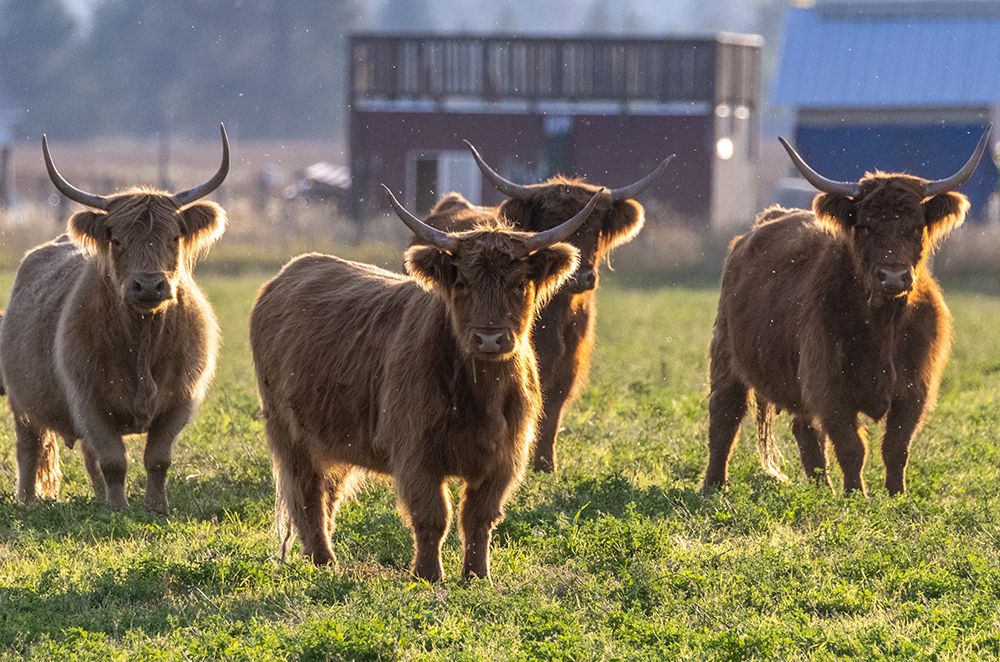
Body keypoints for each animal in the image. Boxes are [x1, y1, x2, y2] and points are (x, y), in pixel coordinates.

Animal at [1, 125, 229, 512]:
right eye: (117, 240)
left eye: (174, 237)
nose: (149, 284)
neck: (141, 343)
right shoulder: (89, 403)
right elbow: (114, 460)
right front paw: (118, 509)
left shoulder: (179, 401)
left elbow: (157, 459)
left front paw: (156, 507)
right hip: (22, 403)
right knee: (30, 448)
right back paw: (29, 500)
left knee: (87, 457)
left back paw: (97, 496)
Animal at [249, 184, 603, 581]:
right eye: (461, 283)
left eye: (519, 283)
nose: (490, 339)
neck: (481, 395)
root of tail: (294, 268)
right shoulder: (415, 451)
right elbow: (433, 515)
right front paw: (428, 574)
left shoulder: (506, 457)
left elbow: (479, 517)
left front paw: (477, 575)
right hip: (291, 434)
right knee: (307, 493)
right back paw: (323, 562)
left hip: (333, 436)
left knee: (328, 492)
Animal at [434, 141, 671, 472]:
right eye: (551, 225)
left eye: (596, 228)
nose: (580, 277)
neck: (555, 318)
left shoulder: (570, 362)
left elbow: (553, 408)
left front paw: (546, 464)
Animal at [704, 127, 991, 495]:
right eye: (865, 226)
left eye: (916, 227)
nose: (893, 276)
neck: (884, 324)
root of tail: (767, 218)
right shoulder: (829, 386)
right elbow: (852, 446)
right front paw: (856, 495)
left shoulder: (914, 389)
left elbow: (896, 446)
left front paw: (897, 495)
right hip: (726, 355)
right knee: (725, 417)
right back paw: (714, 485)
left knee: (805, 431)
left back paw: (820, 488)